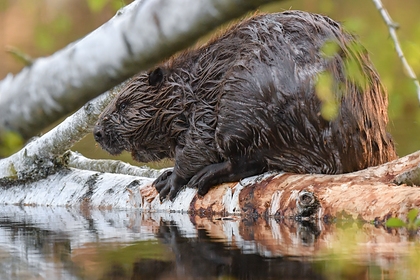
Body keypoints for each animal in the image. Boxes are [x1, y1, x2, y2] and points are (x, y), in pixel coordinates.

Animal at [92, 10, 398, 199]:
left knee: (248, 159)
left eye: (123, 104)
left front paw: (170, 180)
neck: (193, 81)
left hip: (243, 102)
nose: (96, 132)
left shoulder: (206, 108)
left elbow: (198, 144)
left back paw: (207, 176)